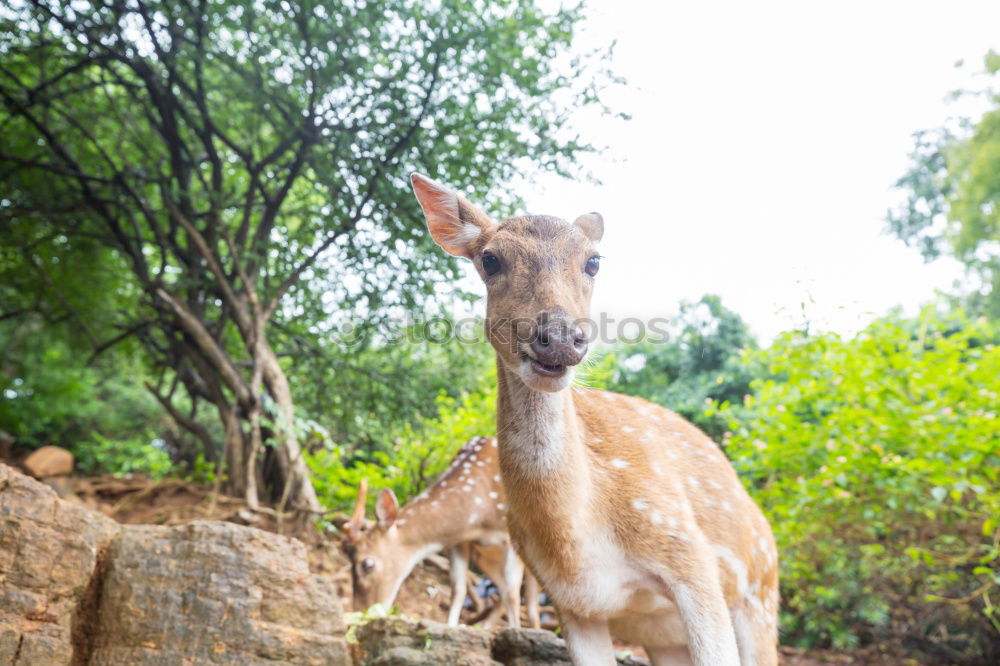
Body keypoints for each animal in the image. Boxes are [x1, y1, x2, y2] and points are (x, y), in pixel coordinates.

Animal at [340, 436, 540, 628]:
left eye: (367, 564)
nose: (362, 611)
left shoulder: (511, 536)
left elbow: (512, 592)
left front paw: (515, 631)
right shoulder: (459, 541)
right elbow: (458, 589)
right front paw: (450, 626)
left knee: (530, 601)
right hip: (484, 557)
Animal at [410, 172, 776, 664]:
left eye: (594, 262)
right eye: (489, 259)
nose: (560, 337)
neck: (577, 542)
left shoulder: (690, 559)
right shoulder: (571, 603)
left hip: (761, 594)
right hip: (665, 637)